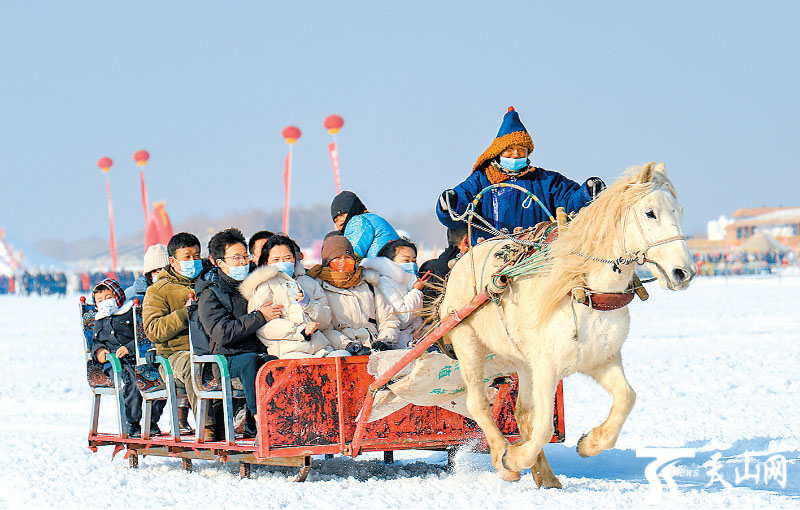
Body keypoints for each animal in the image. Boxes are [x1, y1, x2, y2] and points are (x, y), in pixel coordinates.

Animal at [438, 162, 692, 486]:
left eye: (680, 210)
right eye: (650, 213)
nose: (684, 272)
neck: (584, 290)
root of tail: (462, 260)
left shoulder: (602, 358)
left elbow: (626, 398)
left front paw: (589, 443)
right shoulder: (547, 366)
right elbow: (544, 426)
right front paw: (514, 457)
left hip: (522, 362)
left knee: (522, 414)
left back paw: (545, 476)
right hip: (467, 342)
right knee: (478, 404)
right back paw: (504, 460)